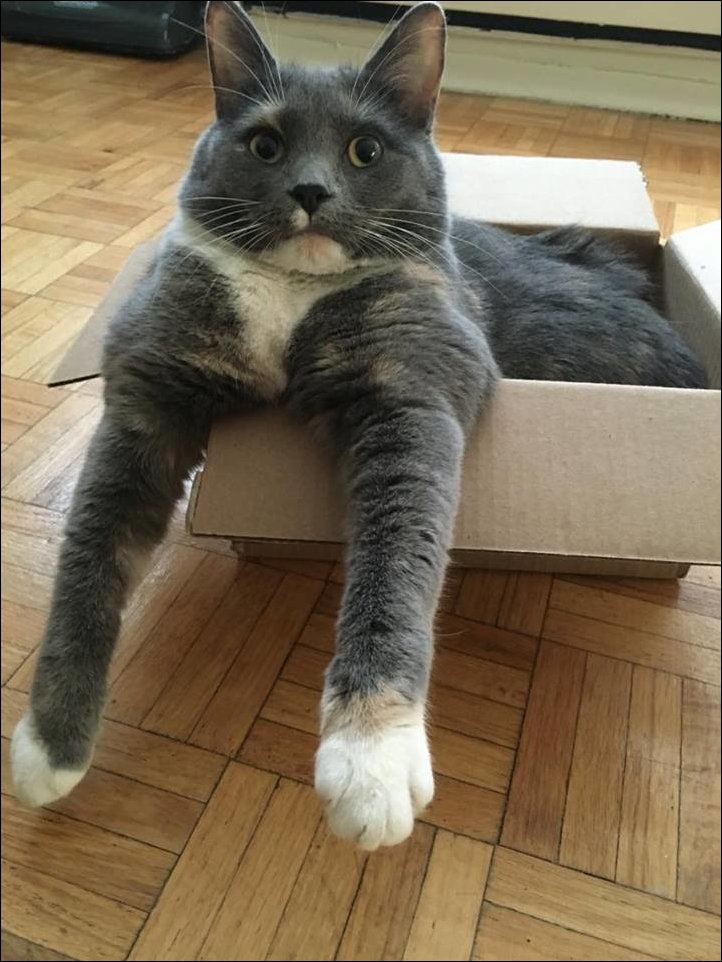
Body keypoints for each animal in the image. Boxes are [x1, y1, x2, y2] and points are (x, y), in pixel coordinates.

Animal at [11, 1, 706, 850]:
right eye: (266, 144)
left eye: (364, 149)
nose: (311, 189)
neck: (290, 295)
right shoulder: (146, 388)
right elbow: (89, 550)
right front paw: (47, 746)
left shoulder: (412, 395)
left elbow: (395, 562)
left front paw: (371, 758)